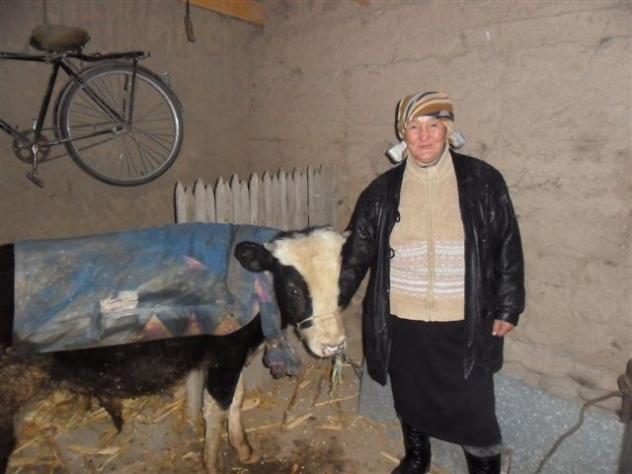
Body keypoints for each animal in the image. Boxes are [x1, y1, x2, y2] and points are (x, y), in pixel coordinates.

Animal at [0, 224, 348, 473]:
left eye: (343, 283)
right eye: (292, 287)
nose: (333, 343)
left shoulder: (234, 356)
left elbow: (237, 400)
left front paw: (244, 449)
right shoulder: (226, 352)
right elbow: (216, 408)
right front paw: (212, 463)